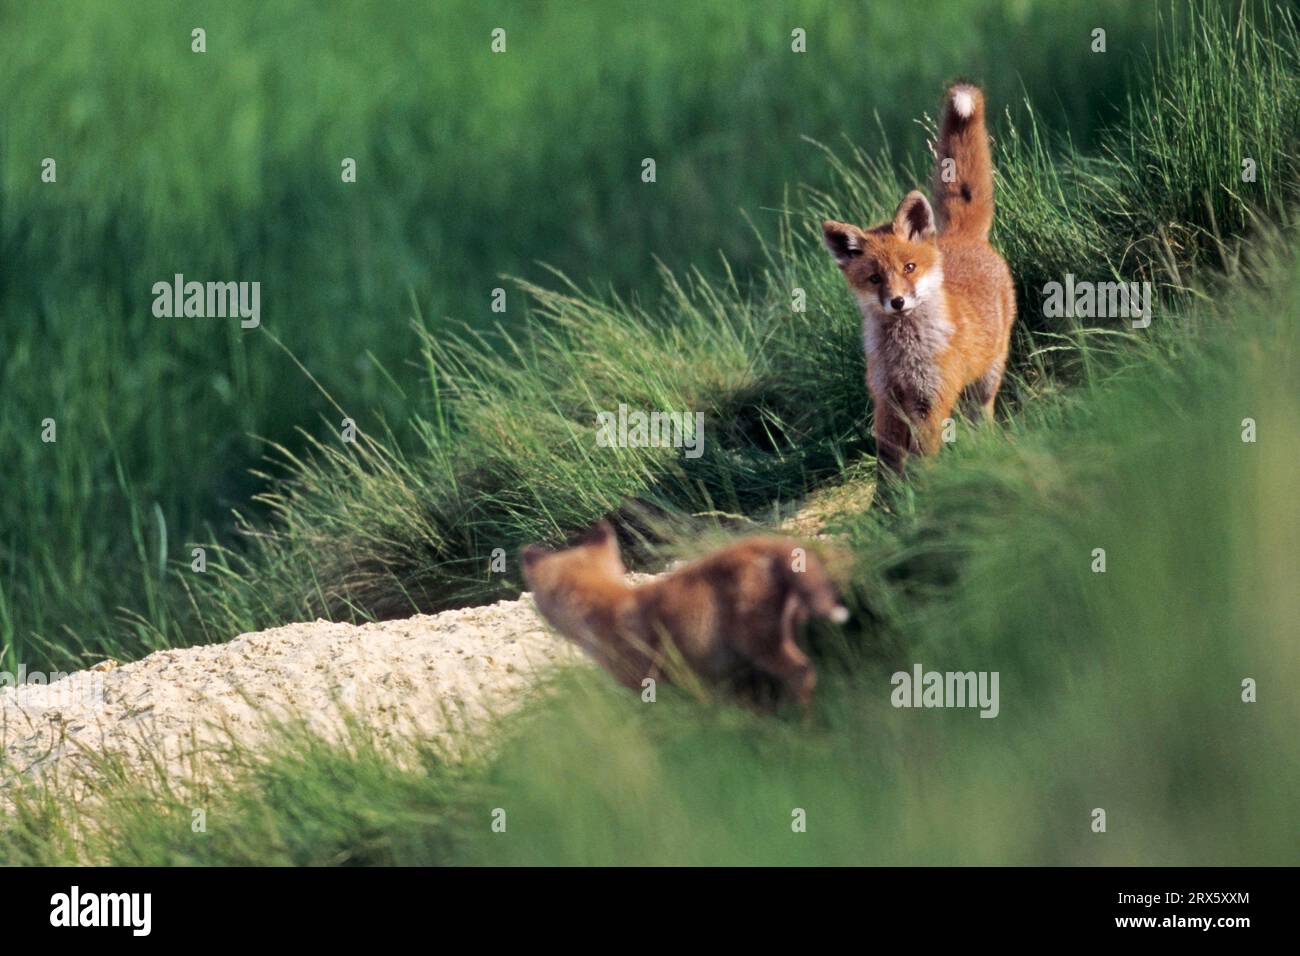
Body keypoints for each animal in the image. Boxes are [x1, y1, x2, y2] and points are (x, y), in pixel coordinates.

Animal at [821, 83, 1013, 476]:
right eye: (874, 278)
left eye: (909, 268)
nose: (897, 301)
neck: (904, 355)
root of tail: (959, 237)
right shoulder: (886, 400)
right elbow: (888, 464)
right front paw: (890, 495)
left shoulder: (931, 399)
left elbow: (921, 459)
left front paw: (923, 488)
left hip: (986, 378)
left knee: (981, 416)